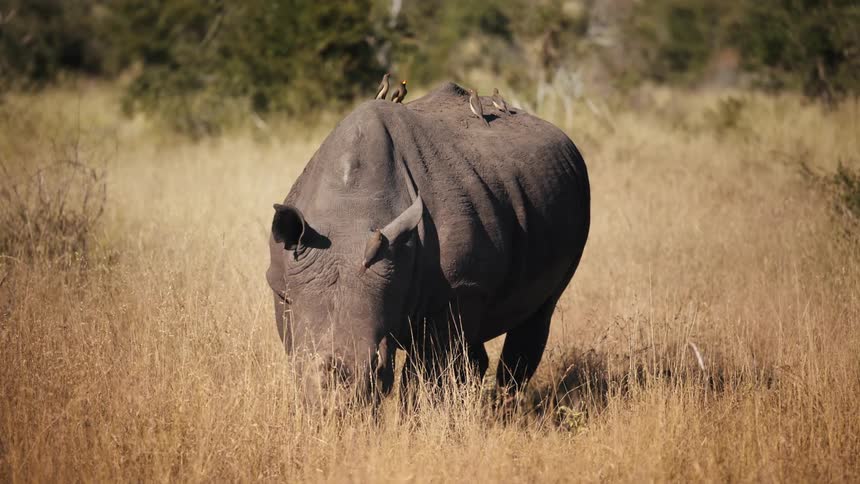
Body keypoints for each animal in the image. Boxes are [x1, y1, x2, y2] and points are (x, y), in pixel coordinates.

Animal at [266, 82, 590, 403]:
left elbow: (427, 375)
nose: (336, 408)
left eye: (379, 368)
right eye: (299, 364)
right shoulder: (282, 286)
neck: (349, 215)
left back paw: (506, 405)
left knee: (537, 316)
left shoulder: (459, 287)